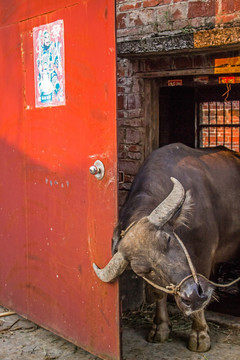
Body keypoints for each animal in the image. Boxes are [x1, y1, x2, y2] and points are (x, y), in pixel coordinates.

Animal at [93, 143, 240, 352]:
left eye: (168, 239)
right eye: (143, 270)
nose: (192, 295)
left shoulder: (204, 254)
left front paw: (200, 334)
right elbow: (157, 293)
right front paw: (160, 327)